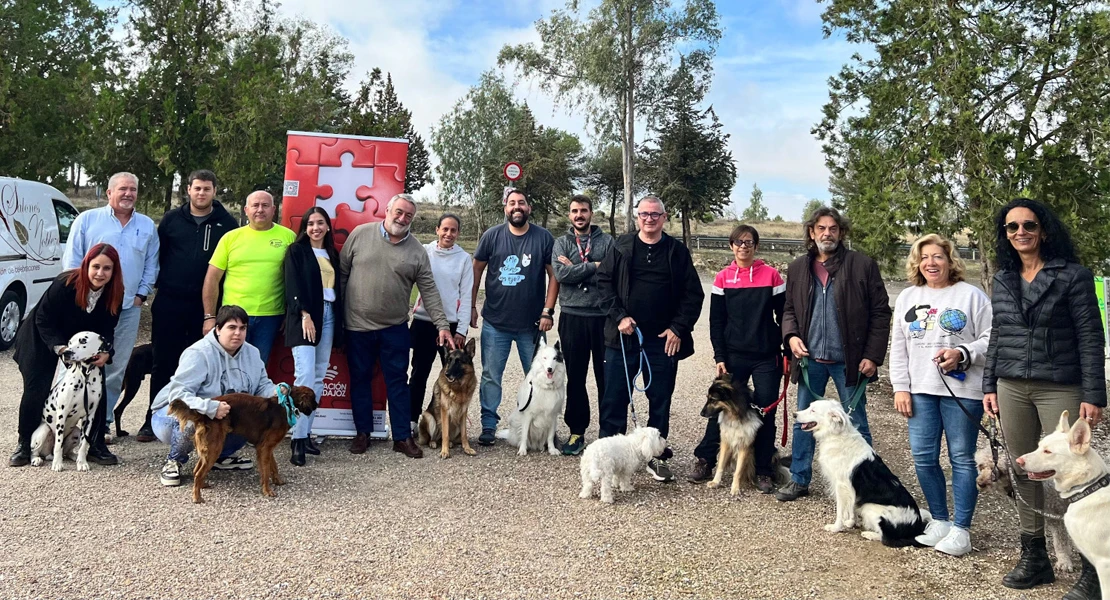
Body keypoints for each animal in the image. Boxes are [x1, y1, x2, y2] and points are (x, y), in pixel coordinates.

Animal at [30, 330, 110, 470]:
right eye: (69, 342)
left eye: (83, 341)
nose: (65, 353)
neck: (85, 376)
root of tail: (48, 454)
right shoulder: (62, 413)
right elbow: (58, 444)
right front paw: (57, 464)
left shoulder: (89, 417)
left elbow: (84, 444)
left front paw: (82, 462)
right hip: (43, 432)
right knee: (36, 451)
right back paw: (37, 459)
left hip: (76, 432)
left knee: (67, 452)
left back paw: (74, 456)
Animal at [168, 383, 317, 501]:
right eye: (314, 398)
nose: (317, 406)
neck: (287, 404)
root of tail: (205, 414)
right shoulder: (264, 448)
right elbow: (266, 471)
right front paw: (267, 490)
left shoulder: (268, 448)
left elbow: (274, 467)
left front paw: (278, 481)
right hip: (215, 446)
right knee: (198, 473)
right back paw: (197, 497)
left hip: (210, 447)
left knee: (196, 470)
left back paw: (202, 485)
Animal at [799, 399, 927, 545]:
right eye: (809, 407)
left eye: (813, 410)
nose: (794, 414)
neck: (836, 433)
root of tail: (916, 526)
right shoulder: (851, 490)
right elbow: (852, 506)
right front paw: (851, 522)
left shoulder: (841, 486)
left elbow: (841, 510)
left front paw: (836, 527)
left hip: (870, 508)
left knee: (887, 539)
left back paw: (869, 534)